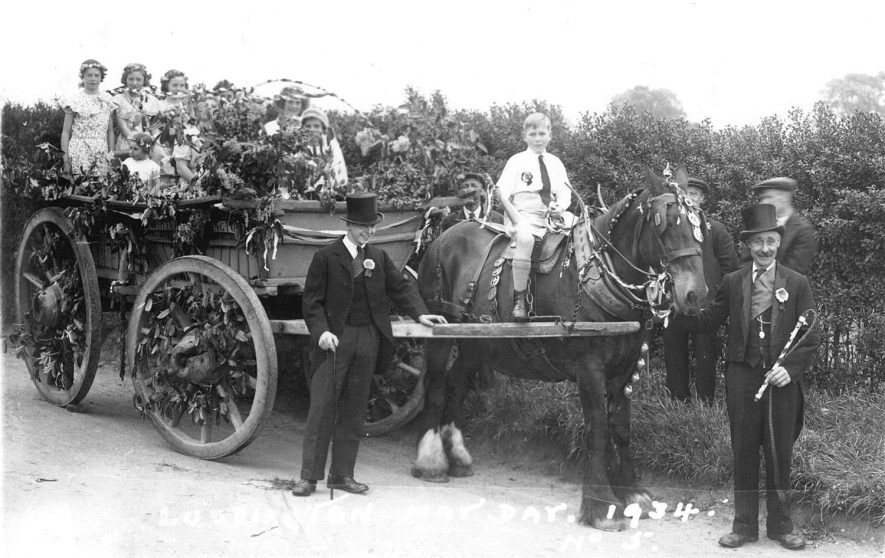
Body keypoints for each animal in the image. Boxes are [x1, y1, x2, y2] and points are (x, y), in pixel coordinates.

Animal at [410, 167, 708, 532]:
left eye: (700, 223)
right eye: (665, 223)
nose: (696, 294)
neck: (597, 274)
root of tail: (443, 236)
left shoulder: (624, 370)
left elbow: (621, 429)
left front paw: (632, 494)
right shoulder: (589, 367)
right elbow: (597, 429)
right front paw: (600, 505)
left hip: (476, 342)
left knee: (457, 383)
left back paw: (455, 456)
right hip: (440, 328)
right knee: (437, 386)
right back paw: (430, 460)